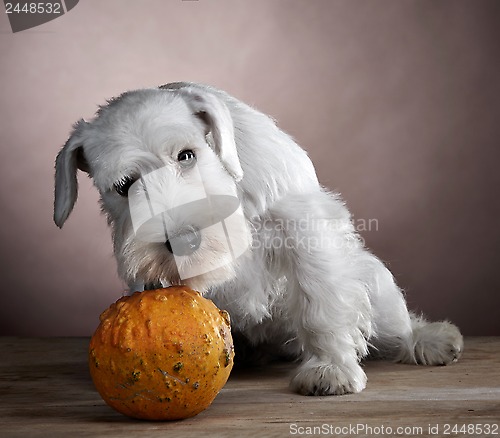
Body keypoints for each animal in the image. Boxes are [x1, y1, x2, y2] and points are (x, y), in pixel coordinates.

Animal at [53, 82, 460, 396]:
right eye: (125, 186)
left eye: (186, 155)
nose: (182, 241)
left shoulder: (301, 225)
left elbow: (320, 301)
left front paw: (330, 369)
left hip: (378, 288)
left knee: (399, 326)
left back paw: (432, 340)